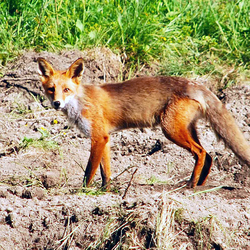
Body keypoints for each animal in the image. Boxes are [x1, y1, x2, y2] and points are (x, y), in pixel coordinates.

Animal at [37, 57, 250, 189]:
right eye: (51, 89)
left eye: (66, 90)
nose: (56, 103)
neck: (81, 101)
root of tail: (195, 84)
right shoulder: (104, 138)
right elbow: (106, 172)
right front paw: (105, 191)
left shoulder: (98, 137)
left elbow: (89, 171)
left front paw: (84, 191)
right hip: (186, 128)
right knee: (209, 155)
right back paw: (200, 185)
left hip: (170, 130)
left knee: (201, 153)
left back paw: (191, 184)